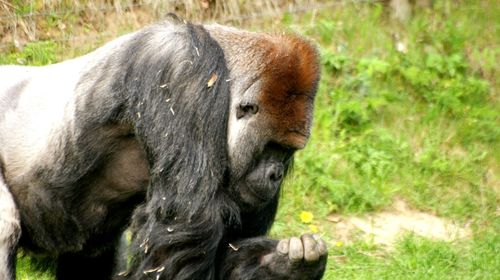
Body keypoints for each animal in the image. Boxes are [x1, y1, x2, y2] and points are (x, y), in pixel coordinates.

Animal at [0, 15, 326, 280]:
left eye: (287, 152)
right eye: (271, 146)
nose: (276, 175)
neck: (224, 65)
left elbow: (230, 248)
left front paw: (289, 266)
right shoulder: (182, 68)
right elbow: (185, 226)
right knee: (7, 225)